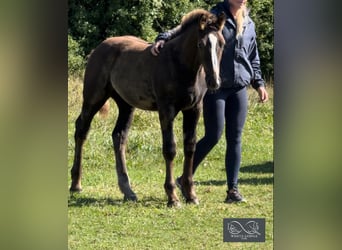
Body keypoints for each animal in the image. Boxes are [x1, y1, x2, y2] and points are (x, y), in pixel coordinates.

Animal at [69, 9, 226, 207]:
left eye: (222, 43)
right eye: (200, 44)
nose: (214, 81)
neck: (180, 66)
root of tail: (99, 48)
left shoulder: (194, 109)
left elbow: (190, 146)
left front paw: (191, 194)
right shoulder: (166, 110)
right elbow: (170, 149)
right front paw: (172, 197)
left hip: (126, 105)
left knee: (119, 136)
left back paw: (127, 190)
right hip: (93, 98)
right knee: (81, 129)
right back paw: (76, 184)